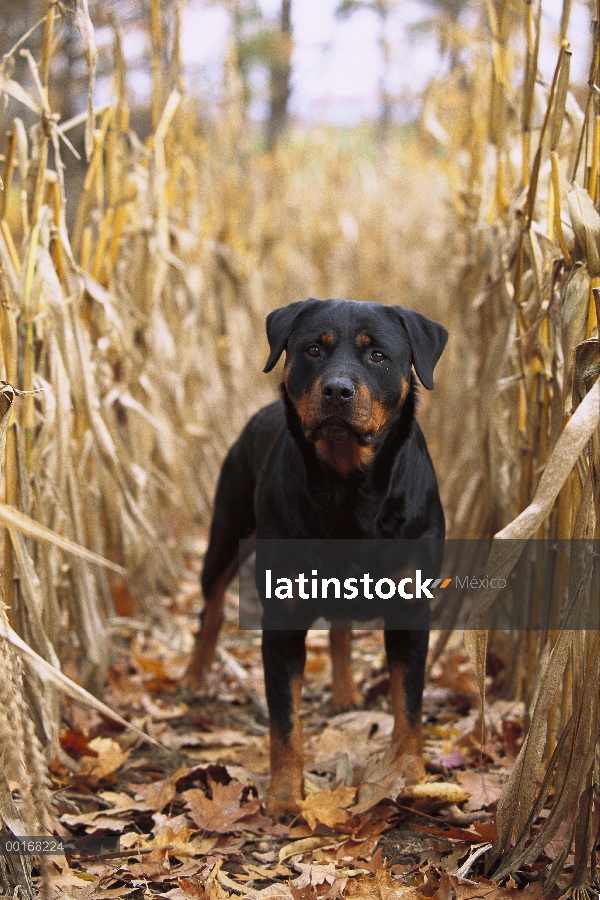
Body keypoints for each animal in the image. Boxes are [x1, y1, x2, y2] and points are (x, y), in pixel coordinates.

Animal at [185, 298, 448, 820]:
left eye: (378, 355)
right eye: (312, 350)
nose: (337, 389)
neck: (348, 489)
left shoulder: (411, 607)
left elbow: (408, 700)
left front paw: (409, 773)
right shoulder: (282, 618)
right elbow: (284, 721)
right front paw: (287, 796)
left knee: (341, 628)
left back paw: (345, 694)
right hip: (225, 534)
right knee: (212, 607)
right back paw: (192, 676)